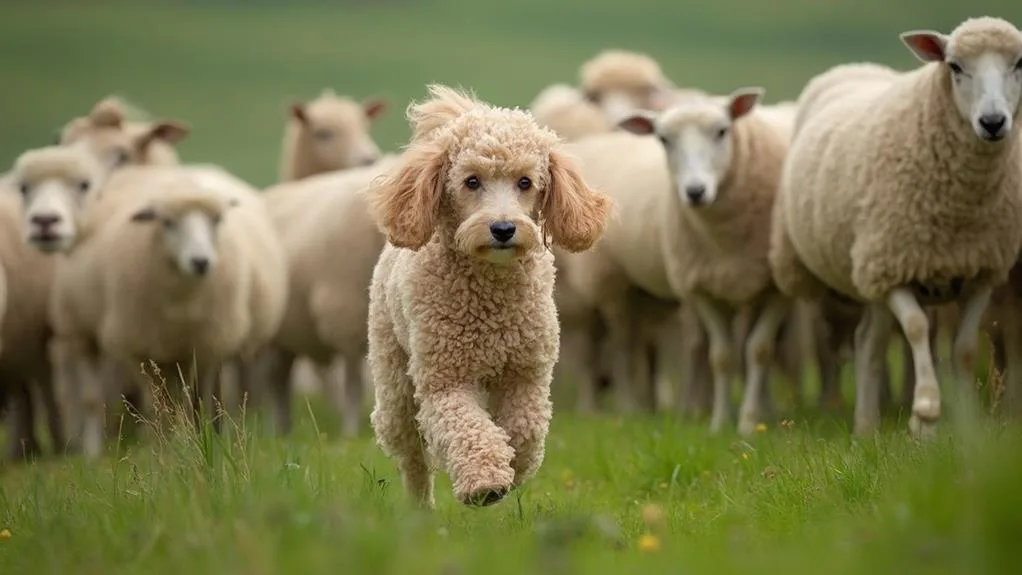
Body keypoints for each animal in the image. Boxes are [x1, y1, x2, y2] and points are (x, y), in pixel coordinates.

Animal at [365, 83, 605, 506]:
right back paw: (419, 506)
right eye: (471, 181)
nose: (503, 228)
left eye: (525, 182)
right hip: (394, 377)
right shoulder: (445, 380)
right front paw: (485, 482)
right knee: (411, 454)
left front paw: (514, 466)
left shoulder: (527, 374)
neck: (489, 300)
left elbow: (525, 429)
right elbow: (465, 427)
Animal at [768, 19, 1021, 441]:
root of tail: (855, 66)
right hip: (868, 268)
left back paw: (868, 422)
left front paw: (968, 425)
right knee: (870, 341)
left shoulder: (983, 272)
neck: (960, 207)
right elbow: (917, 328)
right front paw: (925, 415)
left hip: (869, 272)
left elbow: (965, 348)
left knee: (868, 339)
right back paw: (867, 425)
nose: (992, 122)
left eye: (1019, 64)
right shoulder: (893, 268)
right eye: (954, 66)